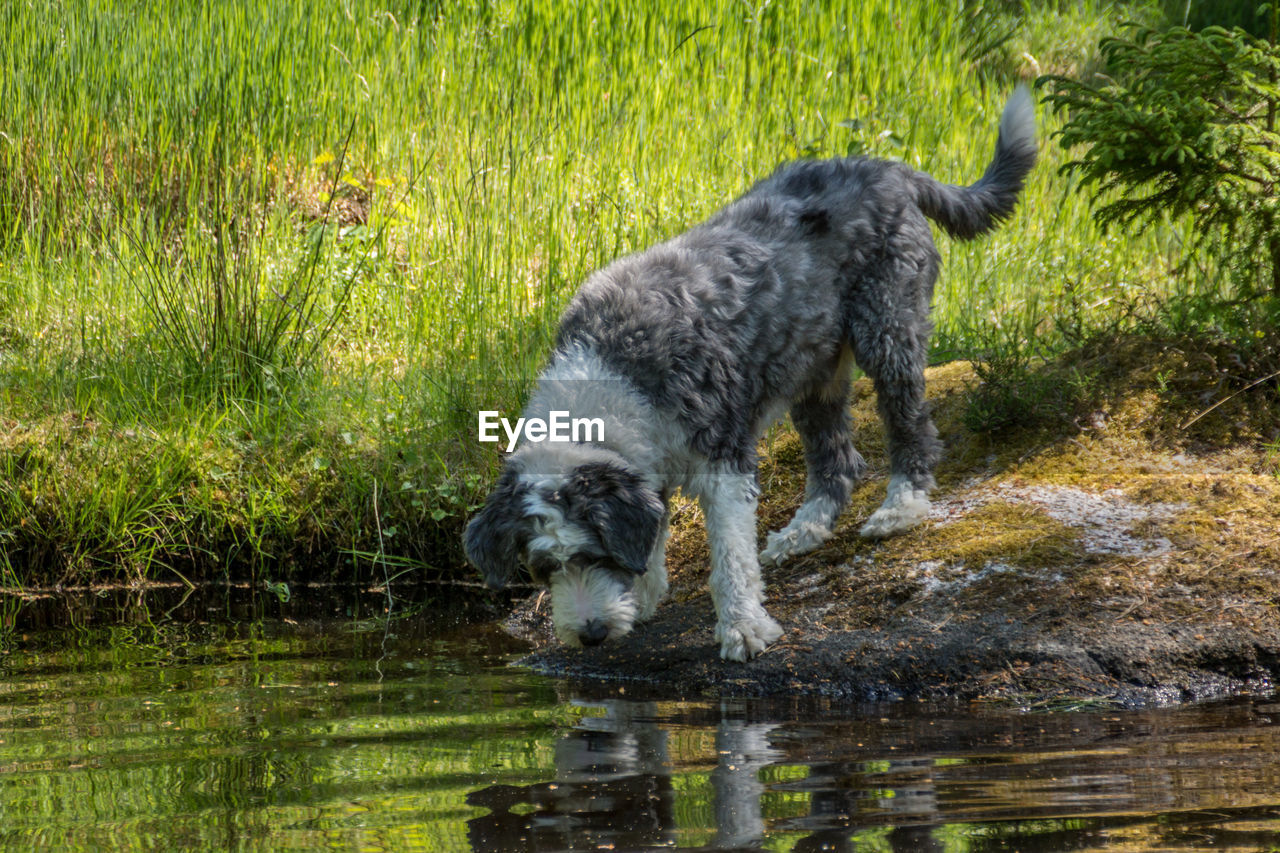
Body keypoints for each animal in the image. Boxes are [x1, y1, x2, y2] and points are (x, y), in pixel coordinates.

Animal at [465, 86, 1034, 655]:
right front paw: (644, 602)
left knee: (911, 425)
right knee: (839, 461)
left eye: (594, 553)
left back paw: (902, 507)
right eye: (543, 568)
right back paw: (801, 534)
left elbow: (730, 561)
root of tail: (887, 168)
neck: (612, 367)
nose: (592, 635)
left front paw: (743, 628)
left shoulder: (724, 460)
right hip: (815, 371)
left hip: (888, 328)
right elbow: (654, 538)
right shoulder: (649, 466)